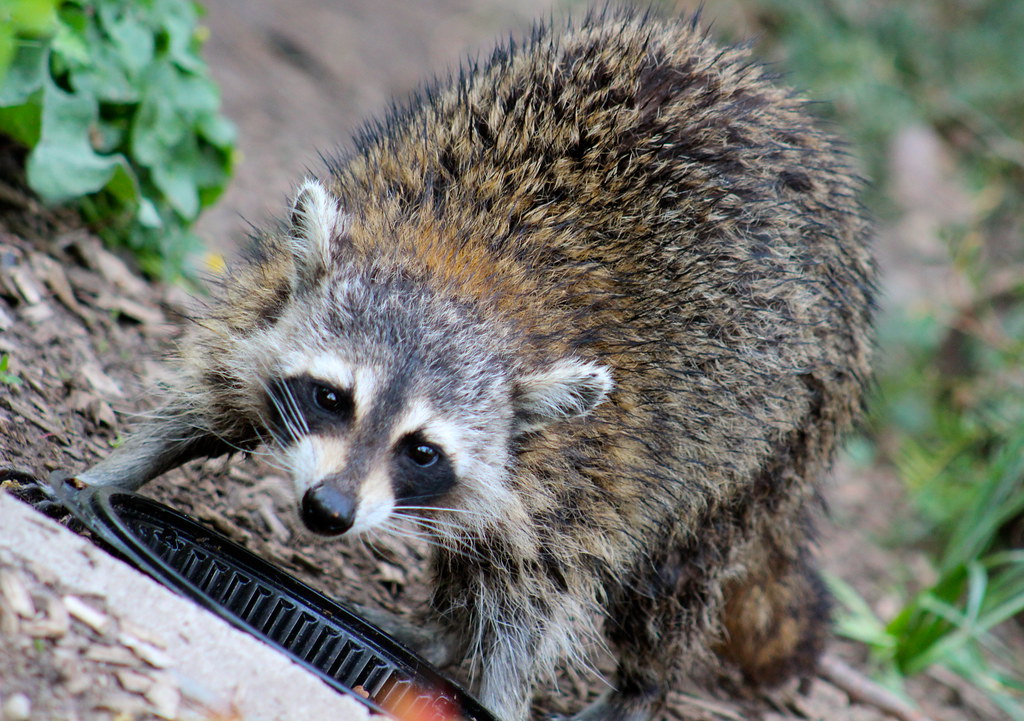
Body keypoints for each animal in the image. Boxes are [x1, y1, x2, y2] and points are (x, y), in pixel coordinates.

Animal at [60, 9, 875, 721]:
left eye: (422, 450)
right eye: (332, 398)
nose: (329, 511)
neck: (467, 279)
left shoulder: (585, 466)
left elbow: (533, 592)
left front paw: (504, 692)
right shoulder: (279, 290)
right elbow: (212, 392)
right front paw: (113, 472)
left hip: (762, 452)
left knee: (669, 580)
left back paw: (641, 686)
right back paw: (444, 631)